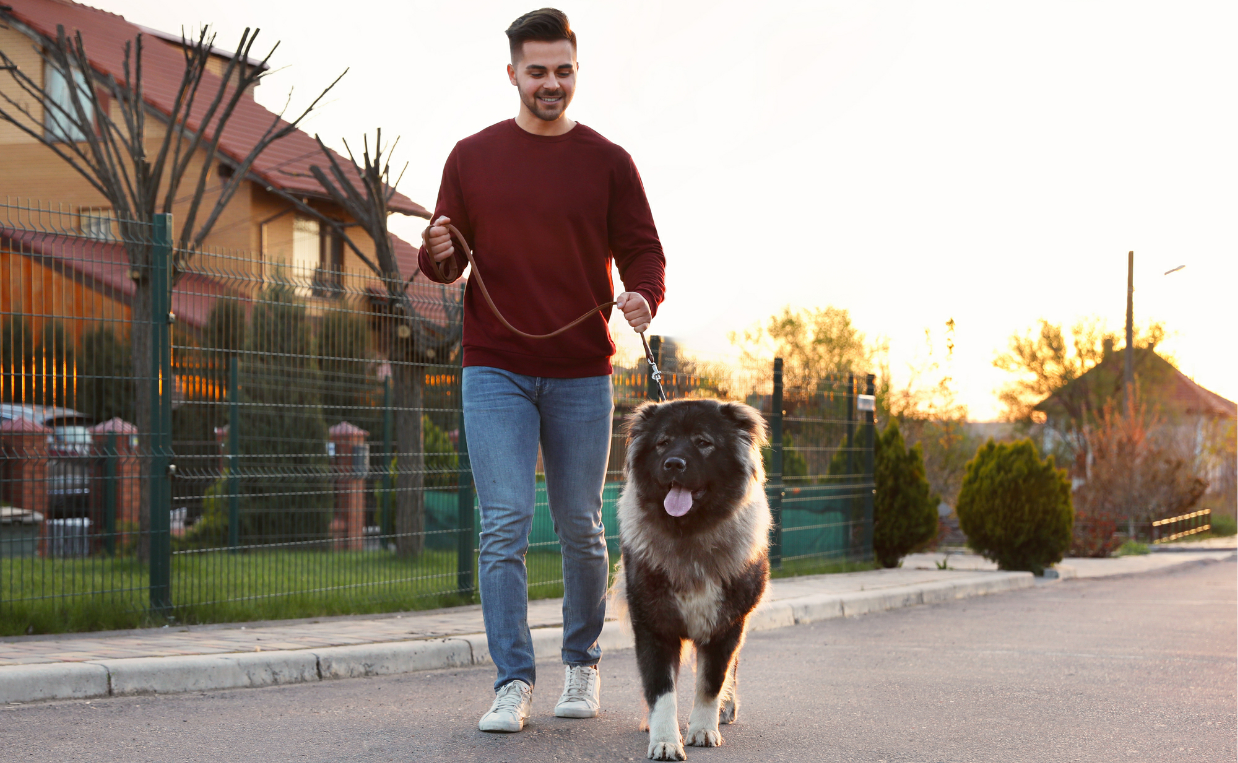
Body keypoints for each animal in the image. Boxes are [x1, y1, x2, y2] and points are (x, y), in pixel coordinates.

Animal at [614, 396, 767, 758]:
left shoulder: (726, 626)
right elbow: (661, 690)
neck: (689, 535)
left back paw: (726, 709)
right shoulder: (653, 626)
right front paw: (665, 740)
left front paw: (703, 729)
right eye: (663, 443)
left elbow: (711, 682)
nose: (673, 464)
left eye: (703, 442)